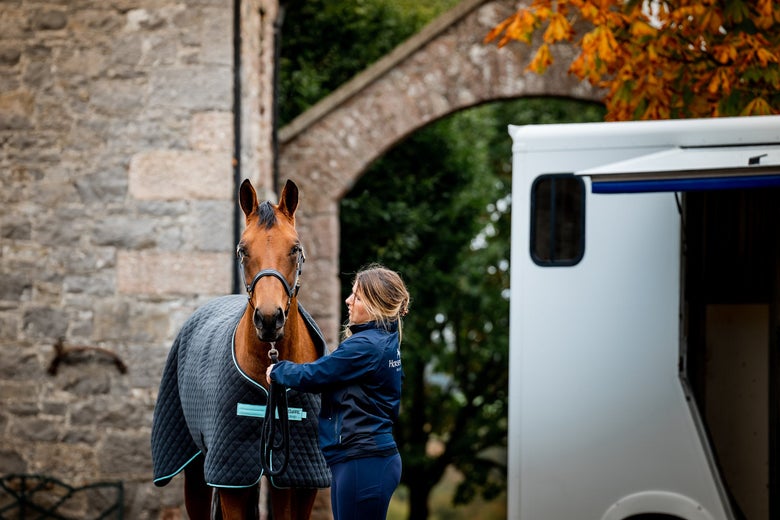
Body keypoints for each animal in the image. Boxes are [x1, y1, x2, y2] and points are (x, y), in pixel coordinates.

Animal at [151, 179, 330, 519]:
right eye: (243, 249)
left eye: (295, 248)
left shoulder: (300, 480)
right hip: (198, 472)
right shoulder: (230, 480)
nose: (269, 318)